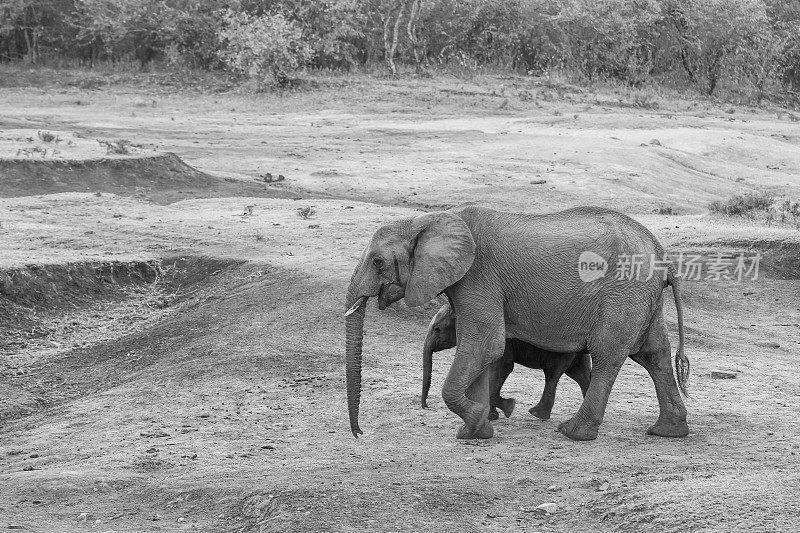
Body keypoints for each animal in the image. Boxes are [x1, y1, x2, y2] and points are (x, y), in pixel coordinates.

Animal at [422, 304, 592, 420]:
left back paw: (536, 414)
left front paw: (505, 409)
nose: (426, 406)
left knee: (552, 375)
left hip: (561, 350)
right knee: (582, 376)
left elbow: (503, 367)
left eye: (437, 329)